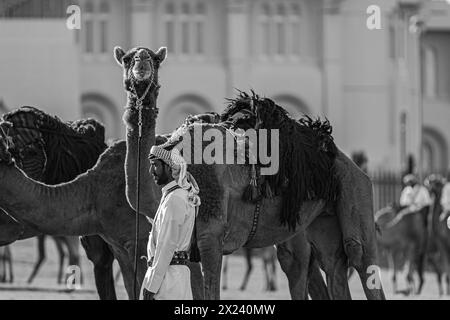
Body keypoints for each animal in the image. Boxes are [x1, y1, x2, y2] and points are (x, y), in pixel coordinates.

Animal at [115, 45, 384, 300]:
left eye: (155, 59)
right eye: (127, 59)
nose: (141, 62)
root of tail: (345, 160)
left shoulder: (211, 236)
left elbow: (211, 290)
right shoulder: (189, 248)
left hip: (354, 191)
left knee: (359, 255)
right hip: (319, 222)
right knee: (320, 264)